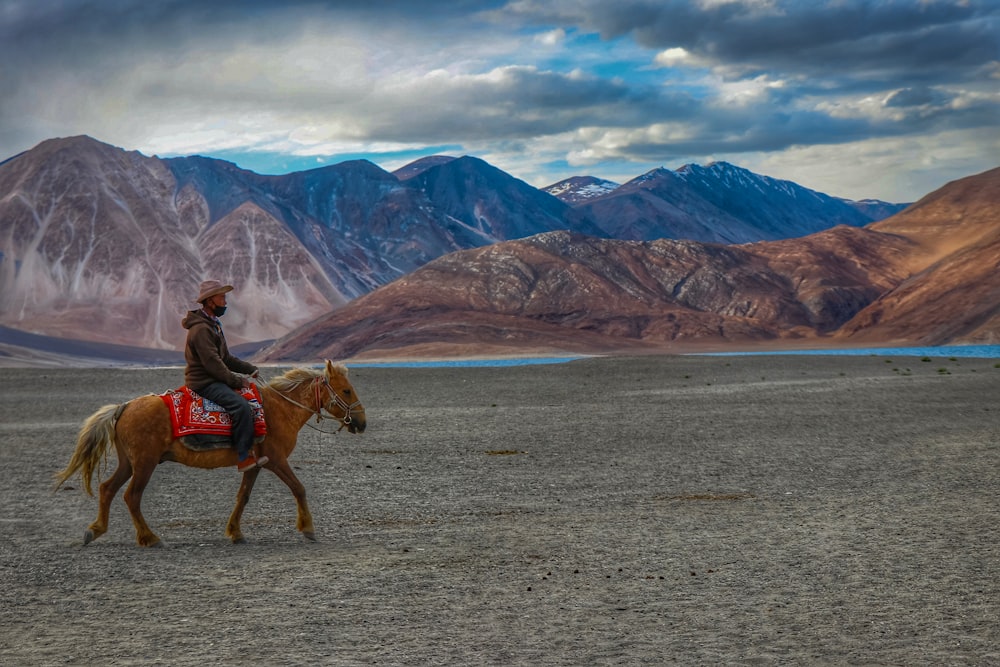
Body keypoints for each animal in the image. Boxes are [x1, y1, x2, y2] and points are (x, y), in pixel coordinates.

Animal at [52, 360, 366, 548]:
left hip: (128, 462)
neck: (280, 408)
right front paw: (308, 528)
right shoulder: (277, 460)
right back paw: (150, 538)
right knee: (131, 496)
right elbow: (299, 488)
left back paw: (95, 530)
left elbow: (243, 497)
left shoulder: (255, 463)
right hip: (144, 463)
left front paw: (235, 532)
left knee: (107, 488)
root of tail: (124, 407)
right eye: (346, 391)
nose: (361, 424)